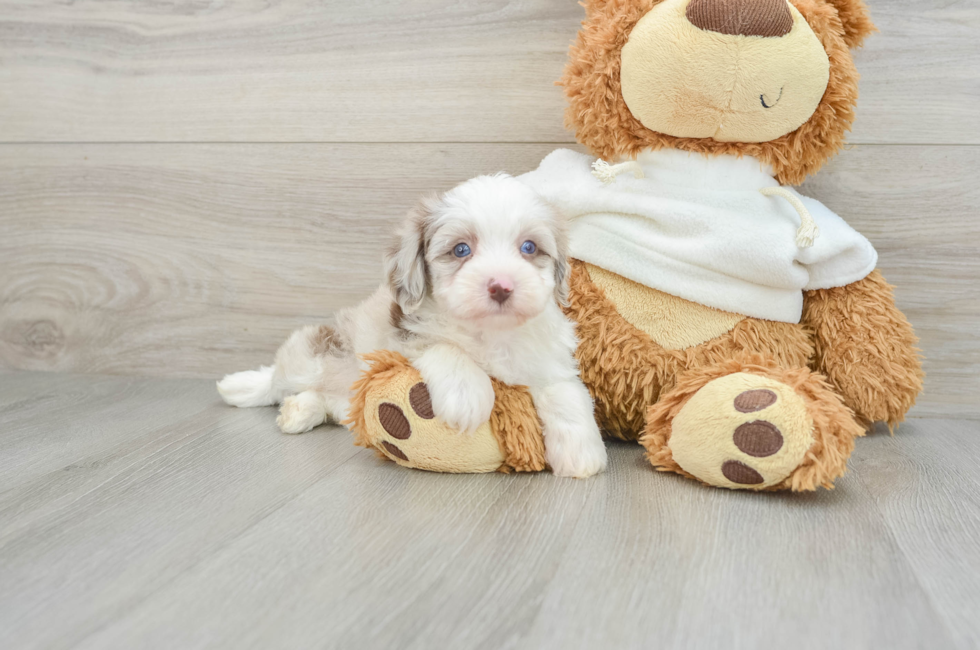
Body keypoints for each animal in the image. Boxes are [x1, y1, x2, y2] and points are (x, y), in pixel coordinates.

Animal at [218, 172, 608, 476]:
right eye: (461, 250)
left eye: (529, 247)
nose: (501, 286)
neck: (490, 333)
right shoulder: (400, 339)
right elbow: (444, 346)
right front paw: (468, 395)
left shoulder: (548, 359)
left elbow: (566, 391)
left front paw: (582, 451)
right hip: (316, 353)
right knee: (278, 377)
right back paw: (243, 387)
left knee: (328, 402)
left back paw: (299, 411)